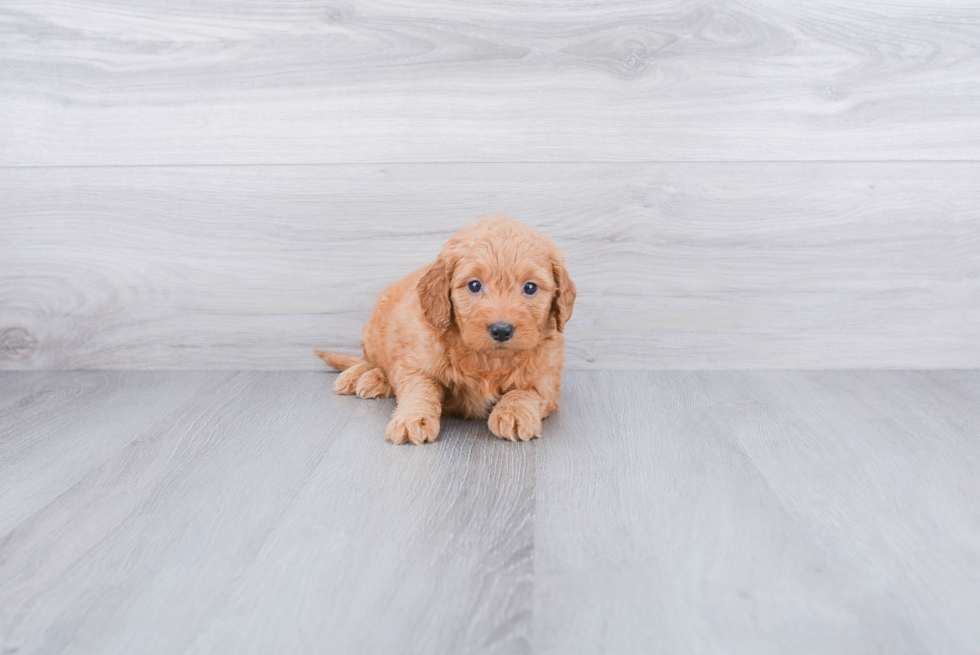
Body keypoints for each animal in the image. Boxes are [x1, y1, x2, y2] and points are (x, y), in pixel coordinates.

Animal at [314, 217, 576, 446]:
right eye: (474, 285)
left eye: (530, 287)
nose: (501, 330)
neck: (489, 359)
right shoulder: (417, 361)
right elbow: (420, 390)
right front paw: (412, 419)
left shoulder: (547, 379)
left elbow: (527, 391)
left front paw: (515, 413)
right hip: (374, 333)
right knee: (371, 361)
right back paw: (364, 377)